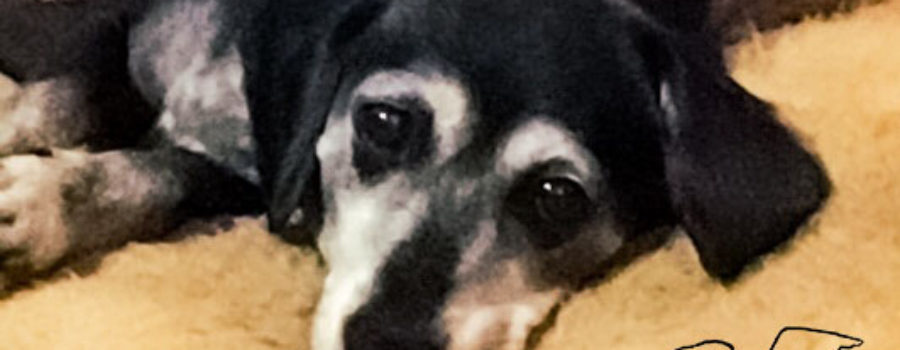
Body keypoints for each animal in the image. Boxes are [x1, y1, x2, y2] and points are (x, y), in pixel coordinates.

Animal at [0, 0, 828, 348]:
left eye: (558, 197)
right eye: (384, 123)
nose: (386, 342)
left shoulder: (262, 173)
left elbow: (167, 170)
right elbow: (71, 91)